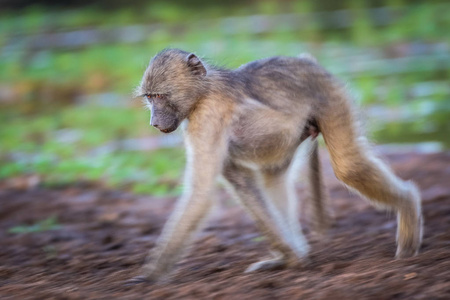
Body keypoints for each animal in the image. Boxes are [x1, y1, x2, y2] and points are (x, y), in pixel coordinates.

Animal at [129, 48, 422, 282]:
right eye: (149, 98)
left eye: (160, 96)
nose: (154, 123)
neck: (204, 90)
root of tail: (305, 61)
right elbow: (241, 181)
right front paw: (290, 258)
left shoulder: (207, 118)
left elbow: (201, 195)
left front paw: (149, 277)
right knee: (273, 178)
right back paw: (293, 255)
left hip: (329, 95)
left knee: (348, 166)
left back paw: (408, 212)